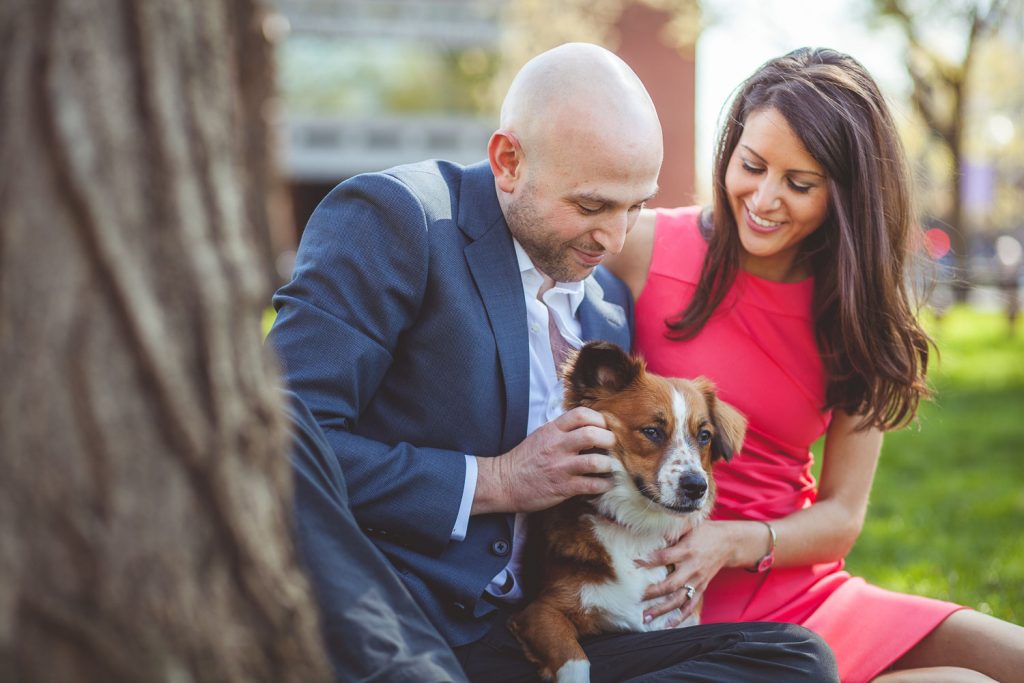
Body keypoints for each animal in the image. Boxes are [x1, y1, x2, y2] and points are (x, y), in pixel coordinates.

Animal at [509, 342, 745, 683]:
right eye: (652, 431)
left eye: (704, 436)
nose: (696, 487)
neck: (637, 528)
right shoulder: (539, 612)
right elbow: (575, 661)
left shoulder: (677, 620)